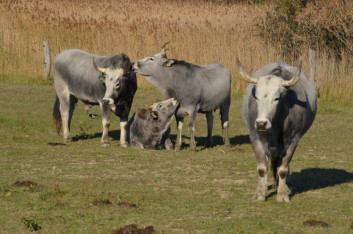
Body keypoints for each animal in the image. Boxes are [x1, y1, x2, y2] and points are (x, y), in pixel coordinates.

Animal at [236, 59, 316, 202]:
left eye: (276, 98)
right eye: (257, 97)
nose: (261, 123)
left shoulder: (293, 140)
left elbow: (283, 168)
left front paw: (282, 194)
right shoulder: (254, 137)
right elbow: (262, 168)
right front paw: (259, 193)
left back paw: (287, 184)